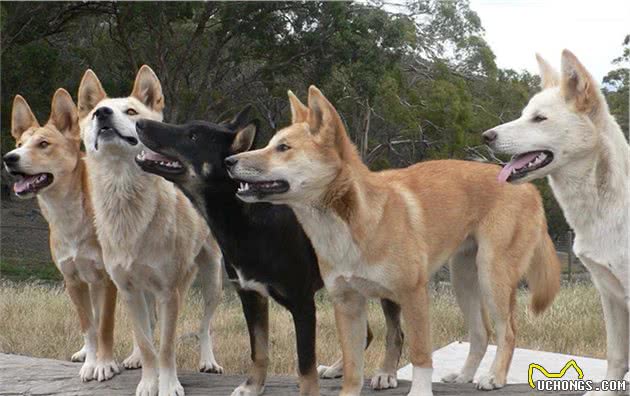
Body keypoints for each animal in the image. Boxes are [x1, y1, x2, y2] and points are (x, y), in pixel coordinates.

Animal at [135, 106, 404, 394]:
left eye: (193, 136)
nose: (139, 123)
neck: (247, 217)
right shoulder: (251, 296)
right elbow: (259, 351)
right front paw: (253, 386)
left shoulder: (302, 304)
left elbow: (305, 366)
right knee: (366, 334)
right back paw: (336, 369)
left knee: (394, 331)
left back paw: (386, 373)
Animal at [226, 86, 564, 396]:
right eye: (269, 144)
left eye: (283, 147)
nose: (229, 160)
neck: (349, 225)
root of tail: (527, 187)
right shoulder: (347, 303)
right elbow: (352, 369)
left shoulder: (413, 295)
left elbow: (420, 355)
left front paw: (419, 392)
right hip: (464, 278)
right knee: (481, 333)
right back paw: (465, 375)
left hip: (493, 275)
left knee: (507, 332)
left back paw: (494, 377)